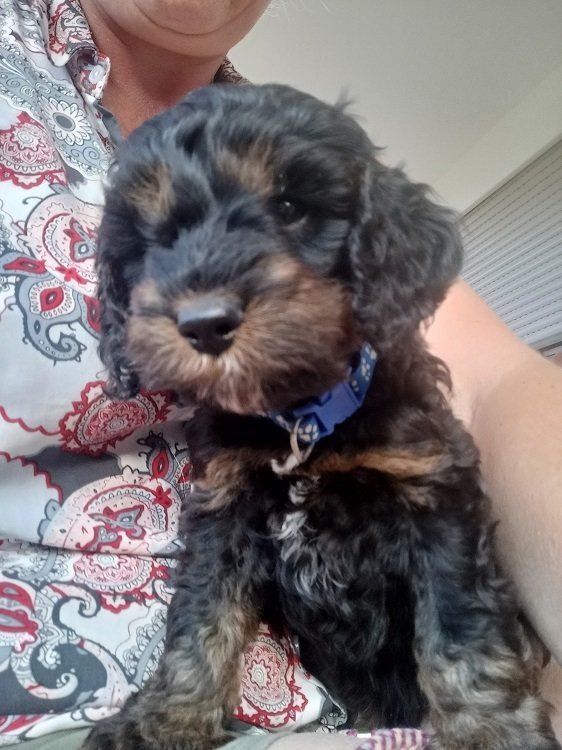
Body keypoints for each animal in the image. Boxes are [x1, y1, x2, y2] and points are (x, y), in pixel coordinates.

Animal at [85, 83, 560, 750]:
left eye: (289, 205)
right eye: (153, 240)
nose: (204, 323)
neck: (298, 420)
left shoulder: (436, 497)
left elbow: (460, 626)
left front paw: (493, 728)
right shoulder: (224, 509)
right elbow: (202, 618)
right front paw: (165, 718)